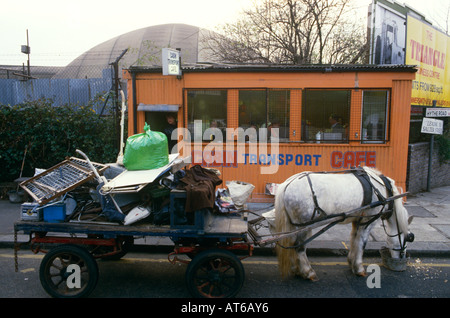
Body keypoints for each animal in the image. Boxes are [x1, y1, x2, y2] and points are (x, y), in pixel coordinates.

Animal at [272, 166, 414, 280]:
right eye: (408, 238)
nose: (402, 258)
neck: (382, 189)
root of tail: (286, 184)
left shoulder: (357, 220)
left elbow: (353, 240)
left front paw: (351, 262)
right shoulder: (367, 222)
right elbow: (361, 243)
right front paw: (359, 268)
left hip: (294, 225)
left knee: (291, 244)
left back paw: (296, 269)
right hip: (305, 225)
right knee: (299, 247)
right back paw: (308, 272)